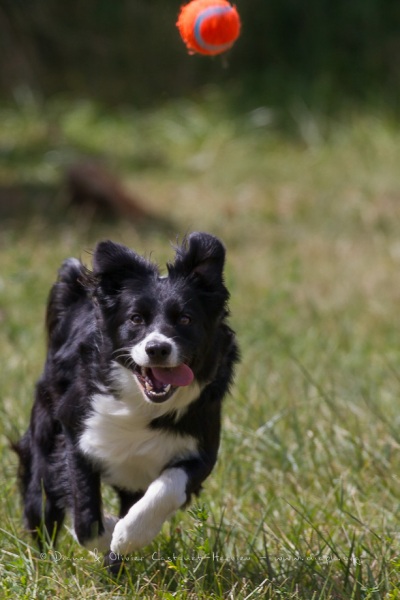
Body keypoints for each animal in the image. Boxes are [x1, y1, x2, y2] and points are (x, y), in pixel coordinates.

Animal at [14, 231, 238, 564]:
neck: (141, 404)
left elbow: (169, 487)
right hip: (43, 433)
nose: (157, 348)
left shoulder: (201, 446)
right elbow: (85, 515)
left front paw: (129, 535)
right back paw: (43, 560)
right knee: (40, 502)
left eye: (185, 319)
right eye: (135, 319)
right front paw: (108, 528)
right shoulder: (75, 430)